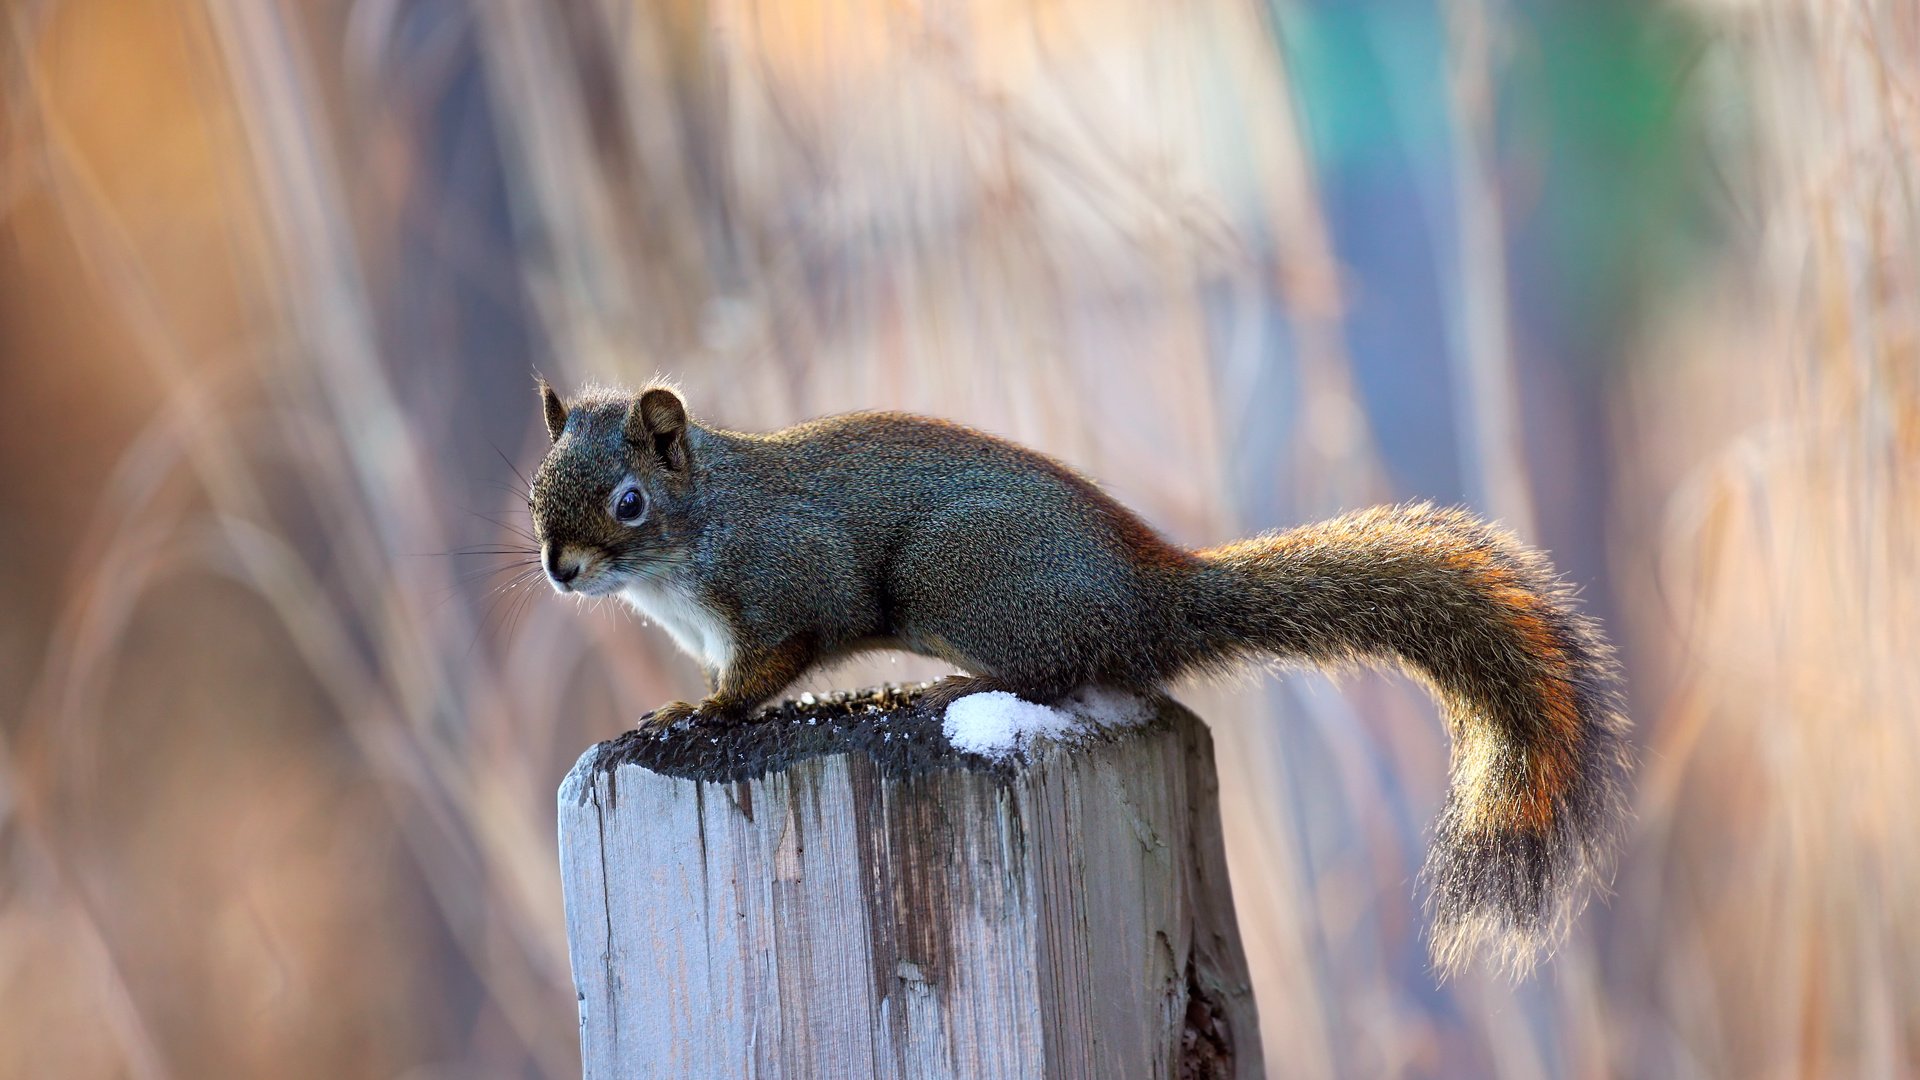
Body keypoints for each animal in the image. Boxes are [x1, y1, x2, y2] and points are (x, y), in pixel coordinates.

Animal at [529, 380, 1635, 976]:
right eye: (536, 490)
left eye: (628, 501)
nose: (558, 569)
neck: (694, 539)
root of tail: (1151, 595)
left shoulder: (789, 585)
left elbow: (769, 666)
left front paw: (695, 713)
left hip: (960, 577)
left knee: (1061, 671)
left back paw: (951, 693)